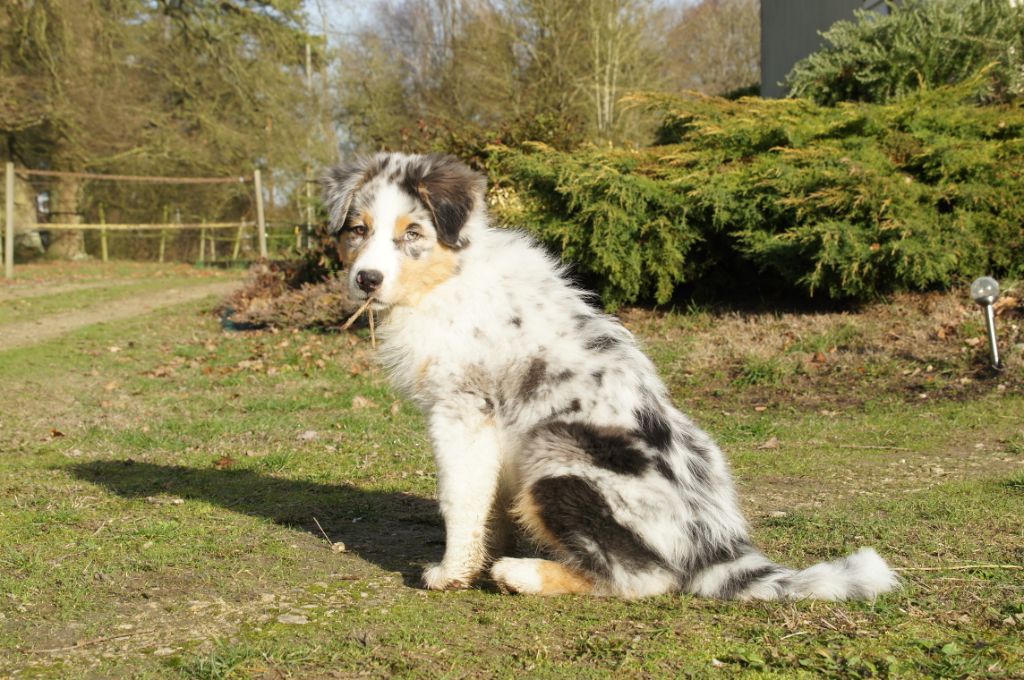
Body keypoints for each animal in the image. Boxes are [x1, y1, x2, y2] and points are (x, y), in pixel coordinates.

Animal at [323, 153, 901, 602]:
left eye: (412, 234)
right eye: (358, 230)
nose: (366, 280)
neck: (447, 278)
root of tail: (715, 543)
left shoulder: (463, 412)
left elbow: (458, 499)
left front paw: (451, 573)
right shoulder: (493, 432)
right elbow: (490, 504)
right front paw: (486, 553)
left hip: (556, 455)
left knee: (645, 577)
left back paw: (524, 575)